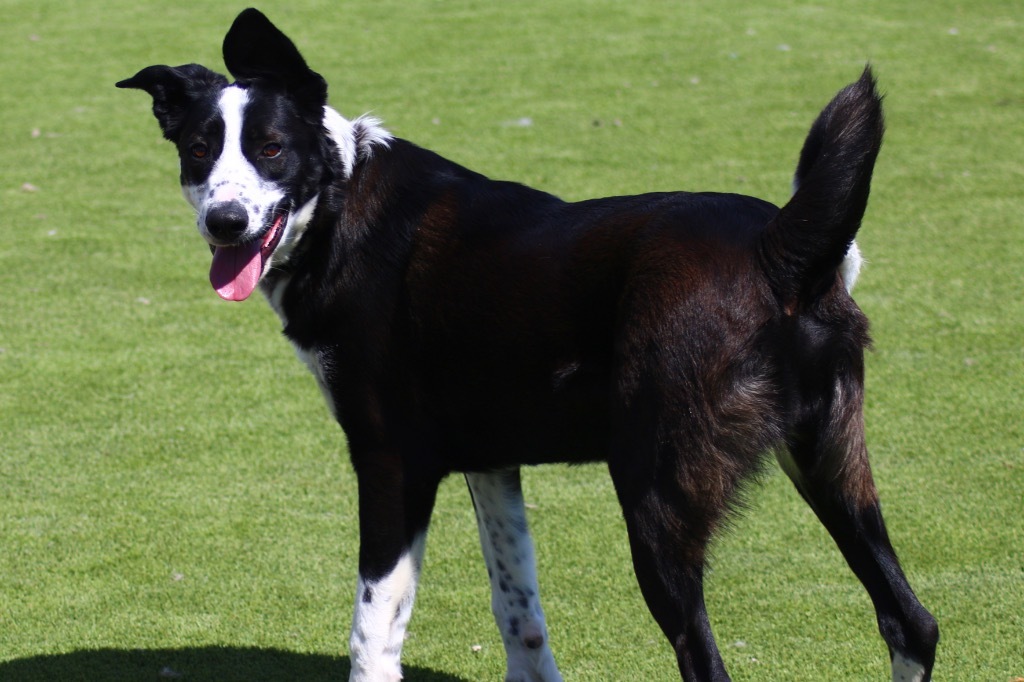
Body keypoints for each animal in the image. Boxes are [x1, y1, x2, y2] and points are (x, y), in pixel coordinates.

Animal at [116, 7, 937, 675]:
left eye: (271, 149)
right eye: (199, 150)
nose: (224, 221)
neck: (341, 206)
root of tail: (779, 250)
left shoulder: (392, 464)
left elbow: (372, 635)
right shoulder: (491, 463)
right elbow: (521, 615)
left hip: (657, 500)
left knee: (710, 659)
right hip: (827, 464)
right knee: (911, 622)